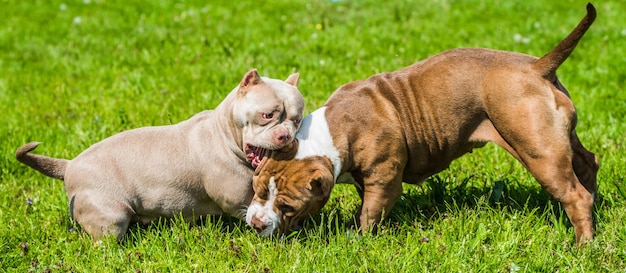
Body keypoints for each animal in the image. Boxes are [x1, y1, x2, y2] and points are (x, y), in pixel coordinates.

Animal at [15, 68, 304, 240]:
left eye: (297, 119)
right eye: (267, 115)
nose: (285, 135)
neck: (224, 133)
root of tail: (69, 165)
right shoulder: (236, 197)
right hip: (110, 216)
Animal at [244, 4, 596, 242]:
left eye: (288, 207)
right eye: (257, 190)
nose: (257, 224)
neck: (331, 131)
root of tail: (537, 68)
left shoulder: (383, 180)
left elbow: (369, 213)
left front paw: (359, 239)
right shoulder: (366, 178)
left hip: (538, 148)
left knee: (574, 195)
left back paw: (583, 245)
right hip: (560, 139)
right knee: (587, 162)